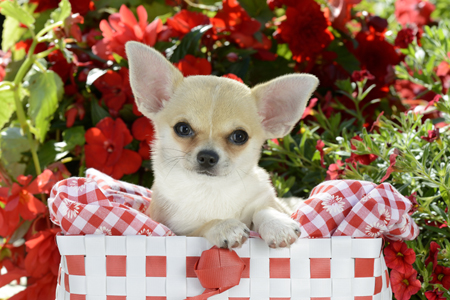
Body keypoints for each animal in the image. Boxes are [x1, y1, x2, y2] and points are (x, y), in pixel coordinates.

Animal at [125, 41, 318, 248]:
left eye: (239, 136)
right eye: (183, 128)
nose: (208, 156)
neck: (211, 188)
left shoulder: (268, 199)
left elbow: (264, 209)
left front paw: (277, 225)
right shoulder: (178, 232)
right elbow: (203, 227)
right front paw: (224, 226)